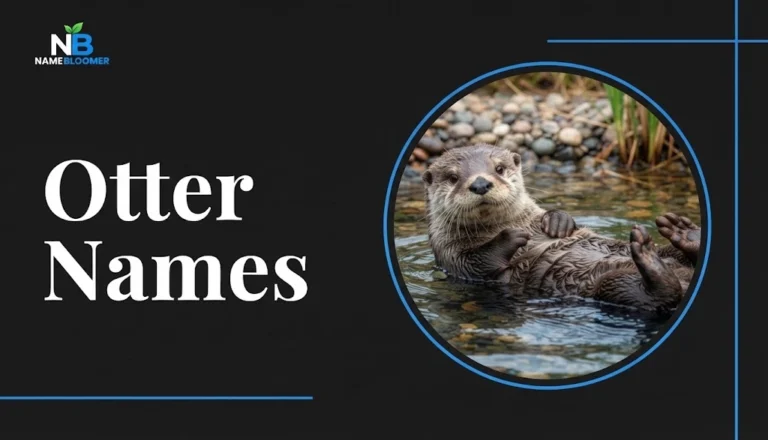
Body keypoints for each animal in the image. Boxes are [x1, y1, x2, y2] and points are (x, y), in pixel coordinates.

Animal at [421, 143, 701, 315]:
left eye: (499, 168)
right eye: (453, 178)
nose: (480, 183)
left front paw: (558, 222)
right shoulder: (450, 255)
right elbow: (478, 262)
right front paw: (511, 237)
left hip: (658, 259)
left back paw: (686, 234)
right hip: (612, 286)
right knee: (658, 295)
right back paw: (650, 259)